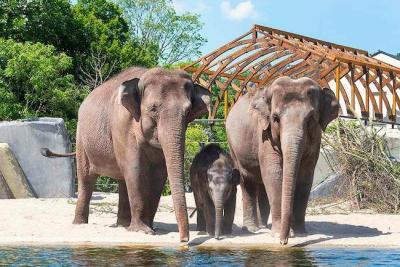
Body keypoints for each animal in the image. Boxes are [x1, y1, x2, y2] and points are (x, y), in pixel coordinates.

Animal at [44, 67, 212, 243]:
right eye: (153, 109)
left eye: (188, 111)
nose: (184, 240)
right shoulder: (122, 124)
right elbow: (135, 170)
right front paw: (142, 231)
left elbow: (159, 174)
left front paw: (150, 228)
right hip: (81, 139)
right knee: (86, 179)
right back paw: (80, 224)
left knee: (122, 180)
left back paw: (123, 225)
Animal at [227, 76, 340, 245]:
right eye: (275, 118)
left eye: (310, 118)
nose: (284, 242)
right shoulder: (264, 135)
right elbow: (273, 174)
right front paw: (278, 235)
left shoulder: (316, 139)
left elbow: (305, 177)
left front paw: (300, 234)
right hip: (233, 146)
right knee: (247, 180)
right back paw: (252, 229)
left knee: (261, 184)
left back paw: (264, 226)